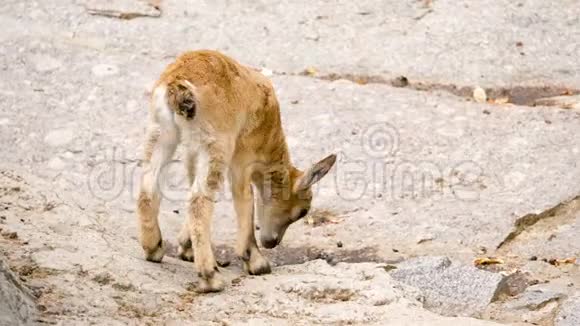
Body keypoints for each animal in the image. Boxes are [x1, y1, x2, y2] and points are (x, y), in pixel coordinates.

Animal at [137, 51, 336, 292]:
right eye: (302, 211)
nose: (272, 242)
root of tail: (176, 86)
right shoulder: (242, 156)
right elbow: (245, 199)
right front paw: (257, 262)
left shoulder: (193, 151)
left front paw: (186, 248)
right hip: (217, 144)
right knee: (199, 202)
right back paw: (210, 277)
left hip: (161, 132)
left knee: (148, 189)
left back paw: (154, 248)